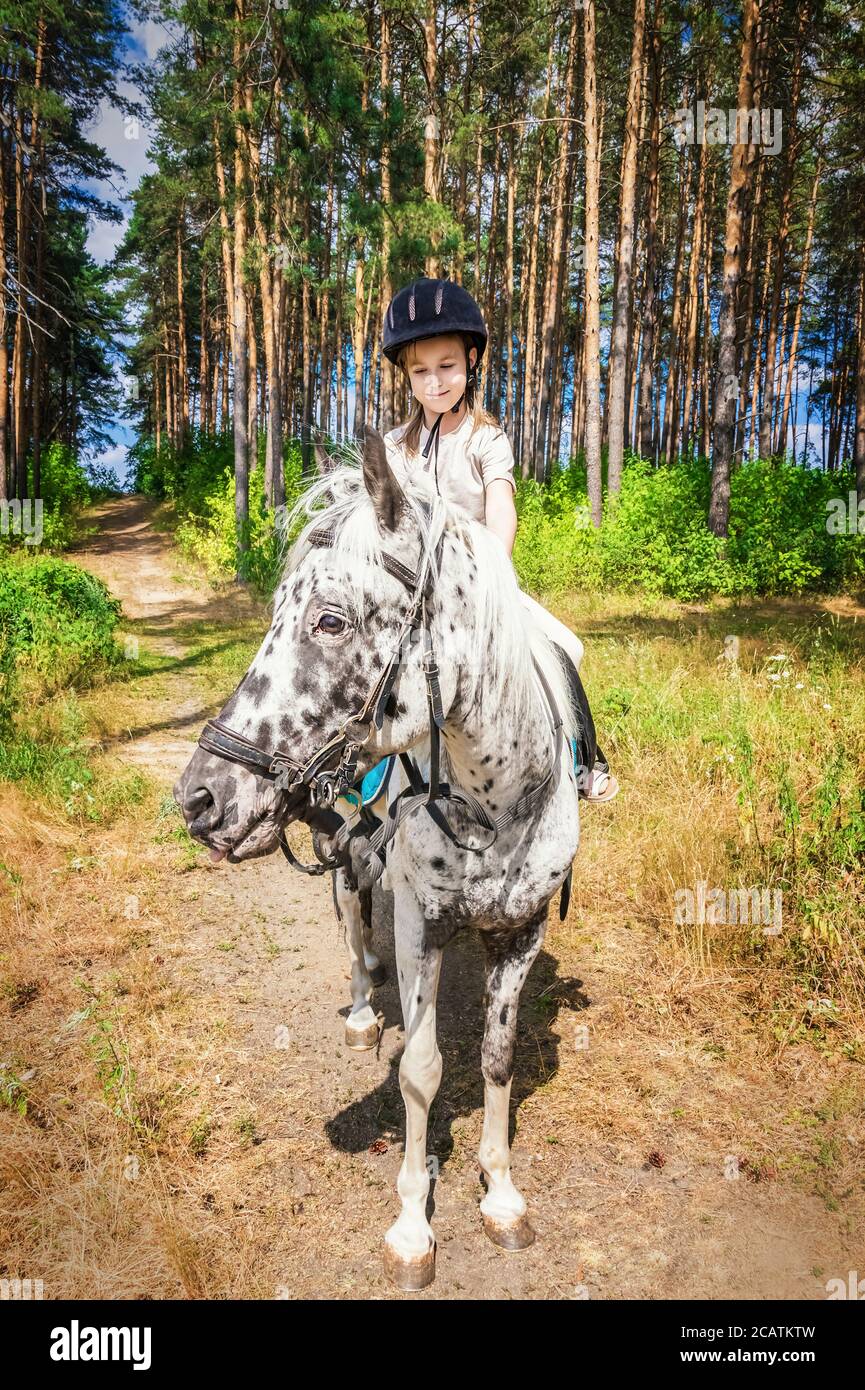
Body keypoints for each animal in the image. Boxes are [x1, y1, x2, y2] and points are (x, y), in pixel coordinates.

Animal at [175, 425, 584, 1289]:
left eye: (331, 621)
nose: (199, 799)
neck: (494, 807)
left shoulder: (521, 933)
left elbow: (496, 1060)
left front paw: (501, 1196)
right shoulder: (419, 924)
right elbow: (420, 1070)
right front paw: (411, 1228)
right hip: (347, 850)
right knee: (352, 920)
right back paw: (364, 1008)